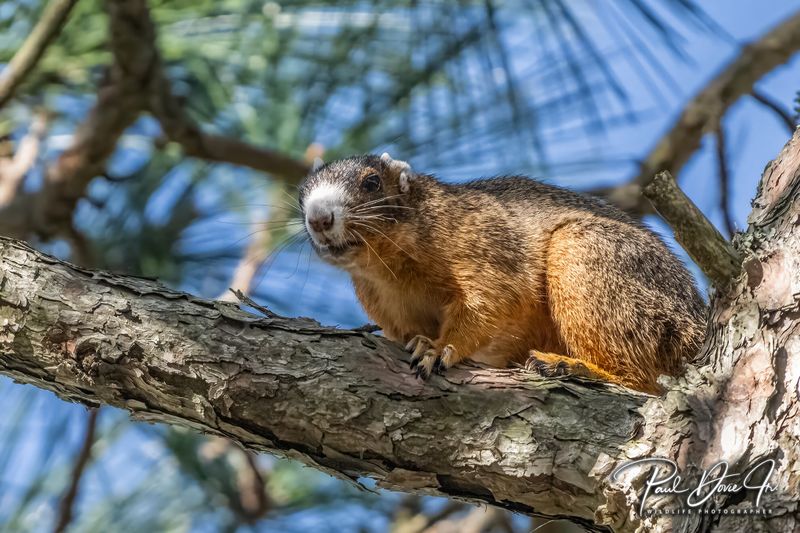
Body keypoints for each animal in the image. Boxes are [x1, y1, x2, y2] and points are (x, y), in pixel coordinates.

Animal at [298, 152, 708, 392]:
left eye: (371, 182)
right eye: (302, 194)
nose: (318, 218)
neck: (389, 270)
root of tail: (695, 326)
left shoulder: (486, 244)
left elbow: (492, 301)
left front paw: (437, 348)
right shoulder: (387, 309)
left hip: (592, 258)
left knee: (641, 380)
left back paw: (571, 367)